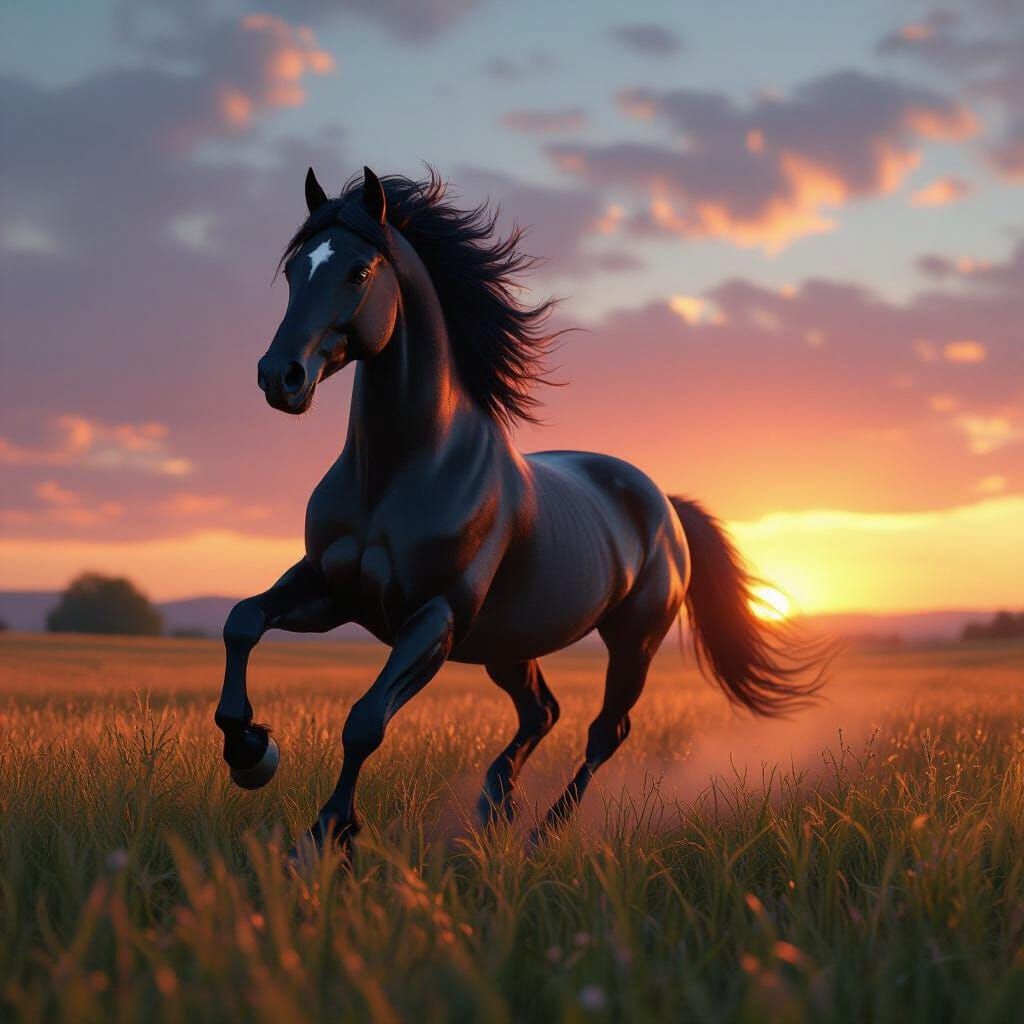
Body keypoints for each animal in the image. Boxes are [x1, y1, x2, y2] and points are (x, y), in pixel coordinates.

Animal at [213, 166, 823, 853]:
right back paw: (493, 808)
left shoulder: (435, 619)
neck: (397, 473)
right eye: (295, 271)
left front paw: (327, 833)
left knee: (604, 730)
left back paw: (541, 833)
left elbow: (365, 720)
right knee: (542, 712)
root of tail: (663, 504)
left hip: (633, 640)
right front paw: (251, 752)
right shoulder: (329, 592)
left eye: (359, 272)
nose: (280, 377)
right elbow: (242, 621)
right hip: (509, 645)